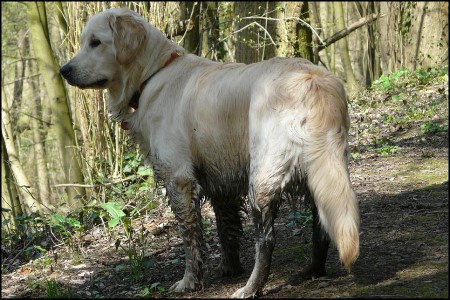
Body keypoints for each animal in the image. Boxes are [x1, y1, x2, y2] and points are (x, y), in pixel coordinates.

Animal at [61, 7, 360, 298]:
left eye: (96, 42)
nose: (64, 70)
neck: (152, 74)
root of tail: (316, 82)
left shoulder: (179, 179)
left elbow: (191, 237)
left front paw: (190, 281)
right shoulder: (221, 179)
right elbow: (226, 227)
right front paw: (229, 268)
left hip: (263, 176)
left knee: (267, 239)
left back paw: (251, 288)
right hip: (317, 170)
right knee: (322, 223)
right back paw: (312, 271)